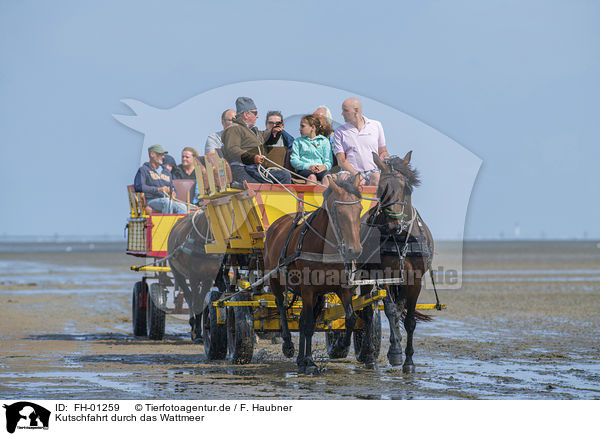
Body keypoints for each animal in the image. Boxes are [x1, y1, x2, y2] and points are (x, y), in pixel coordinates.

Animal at [166, 209, 225, 342]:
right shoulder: (194, 277)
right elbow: (197, 303)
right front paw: (197, 334)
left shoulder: (209, 277)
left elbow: (202, 301)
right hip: (177, 272)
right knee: (189, 296)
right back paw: (192, 324)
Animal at [266, 174, 366, 374]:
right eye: (339, 212)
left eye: (359, 209)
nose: (354, 250)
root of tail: (276, 225)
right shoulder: (307, 289)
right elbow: (309, 324)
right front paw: (310, 361)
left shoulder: (342, 287)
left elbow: (350, 318)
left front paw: (341, 345)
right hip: (275, 280)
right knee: (281, 306)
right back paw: (288, 345)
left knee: (303, 319)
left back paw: (300, 359)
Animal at [358, 152, 434, 372]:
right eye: (381, 188)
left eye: (405, 187)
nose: (393, 224)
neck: (399, 238)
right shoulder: (382, 275)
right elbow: (389, 310)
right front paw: (395, 353)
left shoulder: (414, 279)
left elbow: (408, 320)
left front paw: (408, 361)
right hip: (366, 276)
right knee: (368, 312)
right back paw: (370, 356)